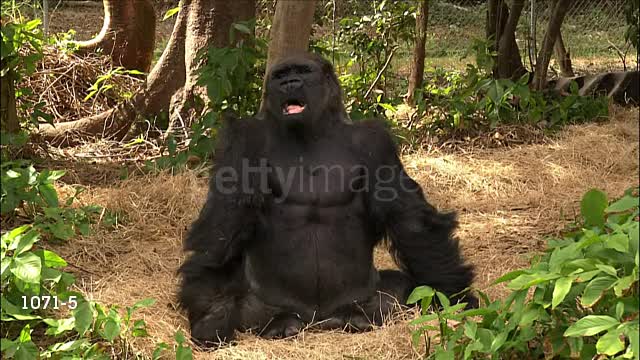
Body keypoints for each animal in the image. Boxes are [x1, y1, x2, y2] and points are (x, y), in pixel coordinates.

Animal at [179, 52, 476, 346]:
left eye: (302, 71)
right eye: (280, 75)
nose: (289, 83)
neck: (312, 130)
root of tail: (318, 320)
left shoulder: (374, 141)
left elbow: (410, 220)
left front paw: (455, 295)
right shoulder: (242, 140)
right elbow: (223, 223)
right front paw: (212, 316)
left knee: (398, 291)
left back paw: (358, 317)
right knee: (247, 304)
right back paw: (277, 324)